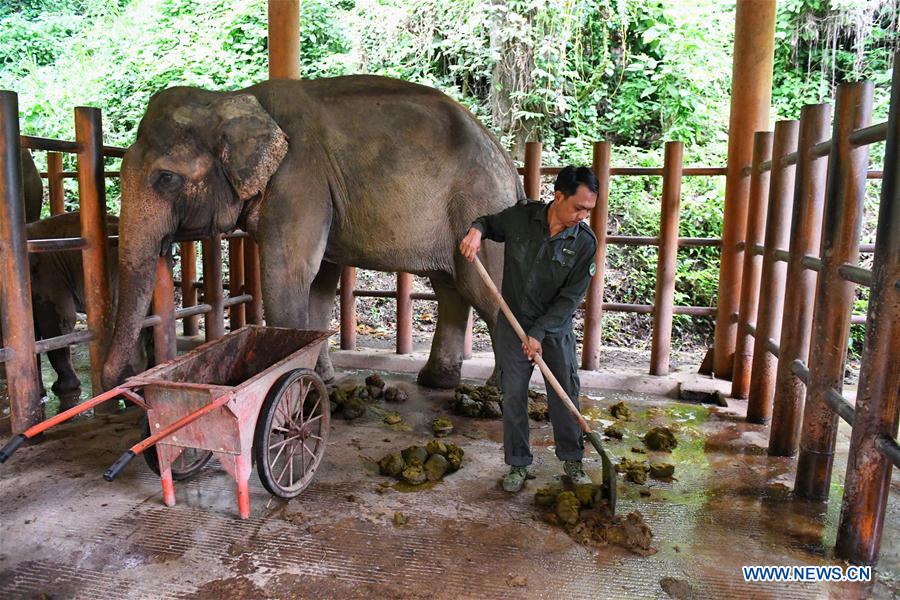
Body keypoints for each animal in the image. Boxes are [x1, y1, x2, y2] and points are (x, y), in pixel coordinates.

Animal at [102, 75, 525, 391]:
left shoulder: (299, 180)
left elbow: (286, 275)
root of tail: (508, 161)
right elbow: (319, 282)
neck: (234, 99)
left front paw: (295, 385)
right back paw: (436, 383)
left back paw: (497, 396)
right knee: (450, 287)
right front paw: (322, 380)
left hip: (479, 205)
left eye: (166, 178)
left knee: (481, 288)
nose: (123, 383)